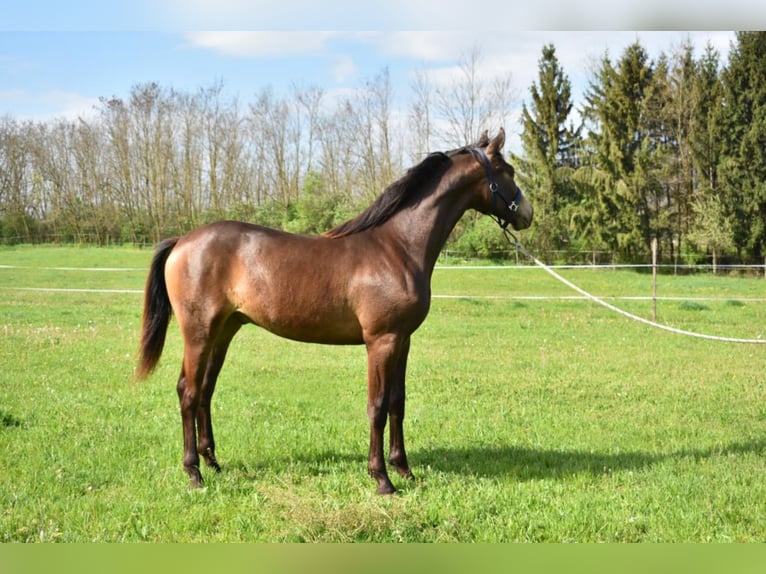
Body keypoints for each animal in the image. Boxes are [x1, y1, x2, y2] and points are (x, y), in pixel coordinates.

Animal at [136, 129, 536, 496]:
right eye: (508, 170)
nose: (527, 214)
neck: (397, 247)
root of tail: (182, 241)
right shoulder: (381, 342)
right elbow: (377, 406)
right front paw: (382, 479)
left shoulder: (402, 341)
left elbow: (397, 402)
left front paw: (405, 471)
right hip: (199, 332)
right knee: (188, 391)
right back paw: (194, 474)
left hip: (224, 331)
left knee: (205, 390)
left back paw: (213, 464)